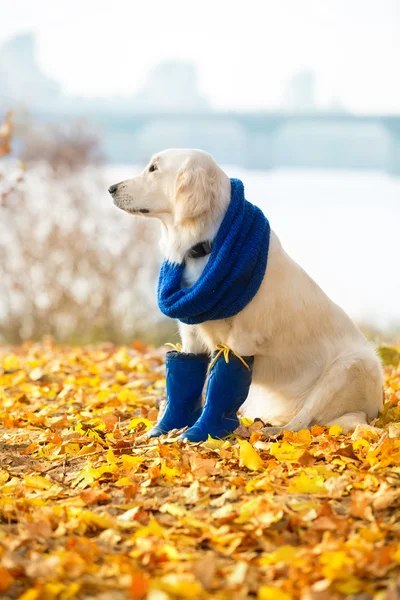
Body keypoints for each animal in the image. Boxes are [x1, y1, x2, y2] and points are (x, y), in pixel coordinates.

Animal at [108, 148, 382, 434]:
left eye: (154, 168)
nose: (111, 188)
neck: (206, 246)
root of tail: (364, 414)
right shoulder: (191, 334)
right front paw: (170, 428)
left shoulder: (242, 338)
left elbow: (223, 379)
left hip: (352, 365)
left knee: (303, 422)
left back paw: (273, 432)